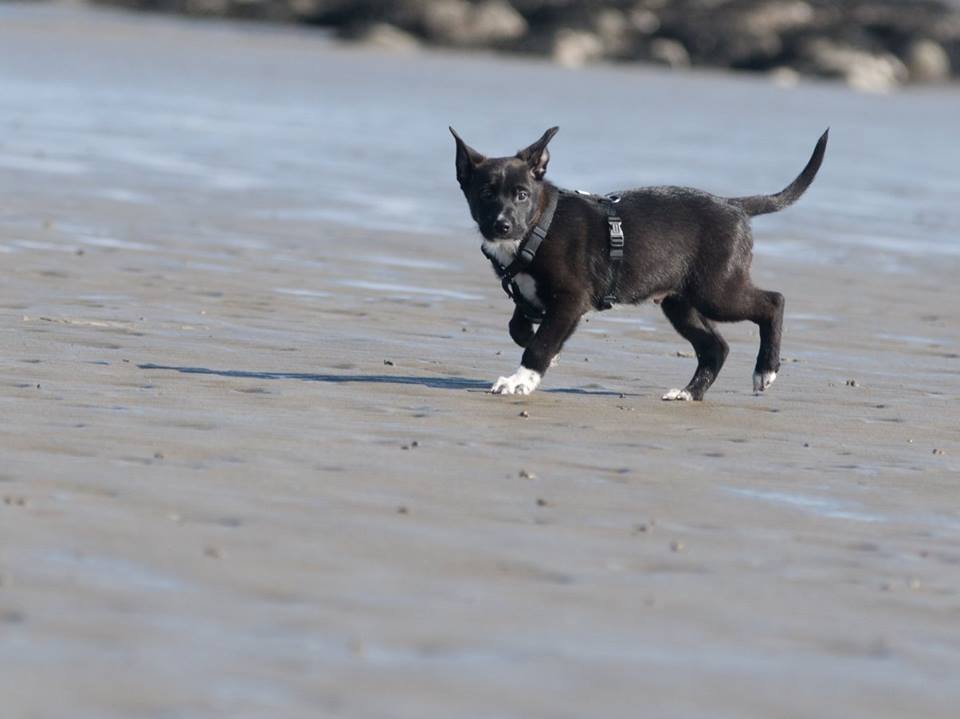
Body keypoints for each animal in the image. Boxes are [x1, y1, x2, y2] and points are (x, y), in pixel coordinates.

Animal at [450, 126, 824, 402]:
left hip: (716, 291)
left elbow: (540, 343)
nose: (502, 225)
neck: (538, 227)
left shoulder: (571, 298)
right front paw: (541, 353)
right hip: (680, 303)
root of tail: (734, 205)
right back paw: (689, 393)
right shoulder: (531, 296)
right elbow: (518, 327)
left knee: (773, 301)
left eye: (522, 195)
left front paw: (521, 380)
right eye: (485, 194)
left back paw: (766, 370)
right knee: (716, 347)